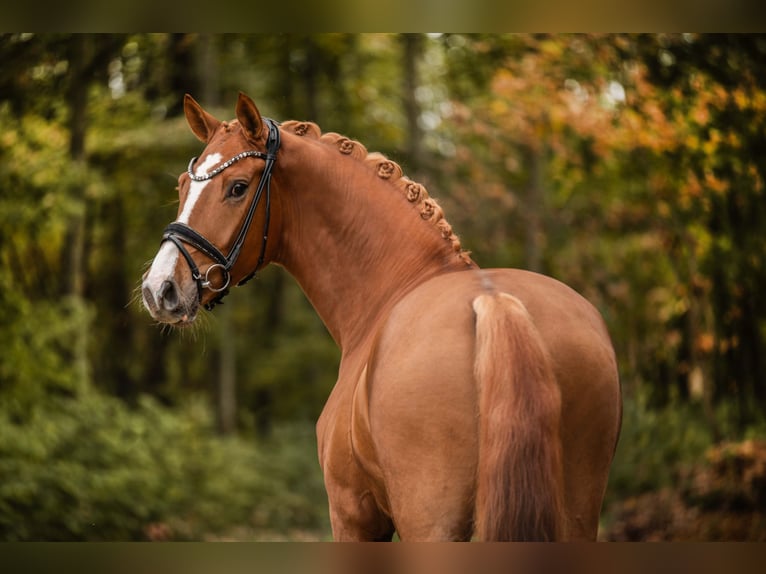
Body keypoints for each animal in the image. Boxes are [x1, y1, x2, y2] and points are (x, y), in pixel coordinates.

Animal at [141, 92, 622, 541]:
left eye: (238, 187)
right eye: (183, 185)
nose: (159, 288)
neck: (393, 286)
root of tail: (498, 304)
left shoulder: (352, 511)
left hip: (430, 521)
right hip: (576, 513)